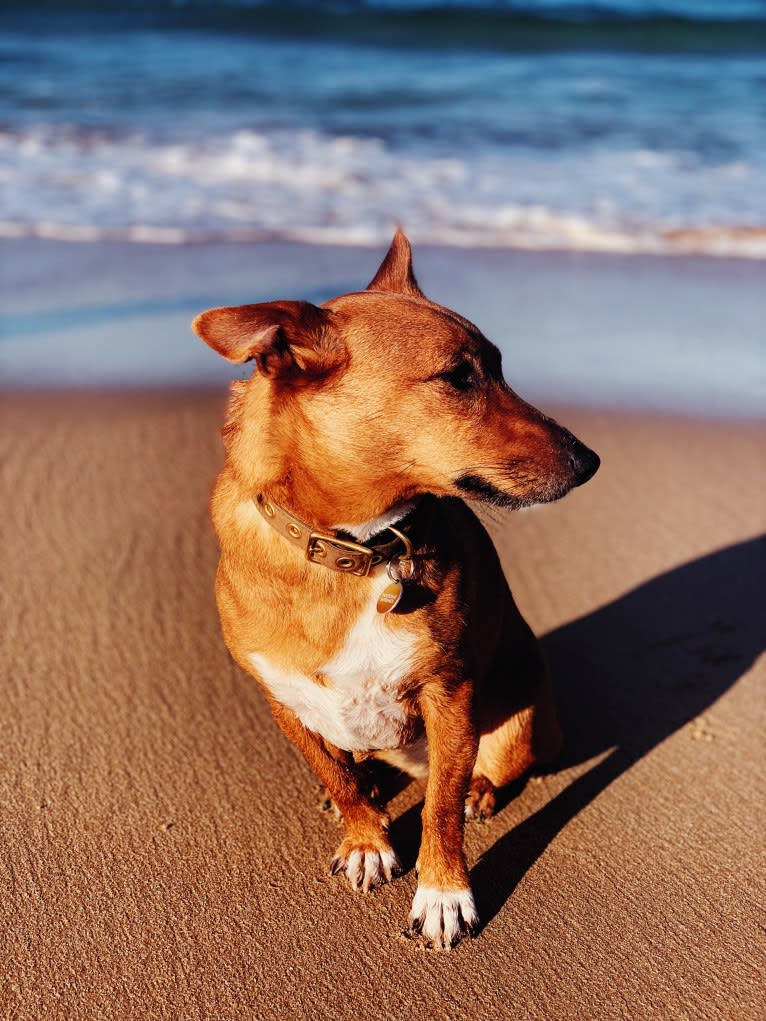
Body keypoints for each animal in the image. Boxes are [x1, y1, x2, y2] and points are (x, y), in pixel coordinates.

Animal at [192, 231, 600, 947]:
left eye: (498, 369)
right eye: (458, 378)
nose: (590, 462)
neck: (354, 551)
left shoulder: (450, 693)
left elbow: (439, 808)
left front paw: (443, 893)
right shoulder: (282, 697)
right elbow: (335, 774)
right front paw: (366, 838)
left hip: (519, 724)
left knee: (476, 774)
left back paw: (479, 790)